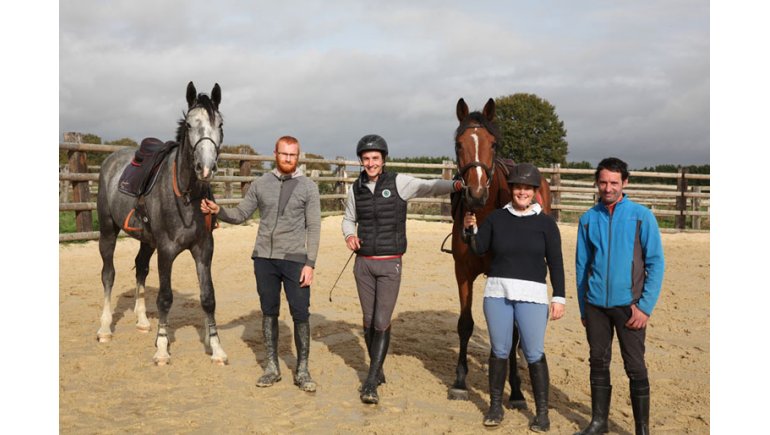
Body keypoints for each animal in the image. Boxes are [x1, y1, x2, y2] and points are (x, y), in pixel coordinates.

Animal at [96, 81, 227, 366]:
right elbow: (165, 298)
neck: (186, 195)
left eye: (220, 124)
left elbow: (208, 298)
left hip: (147, 241)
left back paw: (143, 321)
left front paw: (216, 348)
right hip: (107, 231)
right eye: (189, 124)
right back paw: (104, 328)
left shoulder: (204, 249)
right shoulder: (166, 251)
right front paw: (162, 348)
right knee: (108, 274)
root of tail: (111, 160)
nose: (205, 169)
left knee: (140, 268)